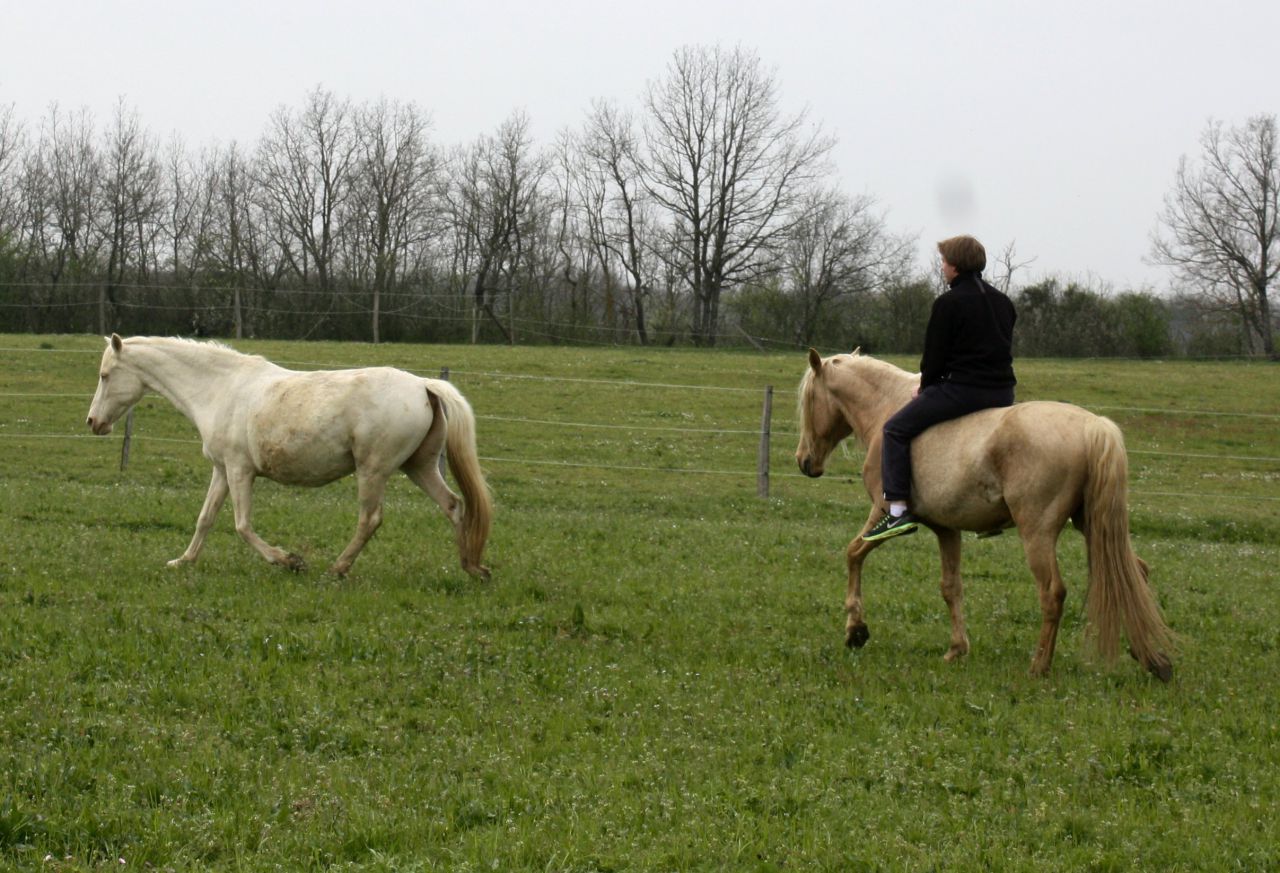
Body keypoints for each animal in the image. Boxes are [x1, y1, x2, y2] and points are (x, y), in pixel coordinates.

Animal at [86, 334, 492, 579]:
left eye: (105, 375)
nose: (93, 422)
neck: (220, 389)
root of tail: (423, 386)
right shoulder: (222, 470)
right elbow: (205, 519)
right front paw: (183, 561)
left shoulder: (240, 470)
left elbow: (241, 525)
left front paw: (288, 560)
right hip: (419, 467)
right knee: (454, 505)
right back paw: (472, 568)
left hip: (373, 470)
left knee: (371, 519)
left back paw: (338, 569)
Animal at [795, 348, 1173, 681]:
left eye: (809, 400)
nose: (804, 461)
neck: (887, 408)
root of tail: (1093, 427)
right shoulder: (946, 529)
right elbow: (951, 587)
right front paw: (956, 648)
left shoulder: (884, 513)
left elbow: (854, 553)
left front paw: (856, 630)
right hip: (1094, 524)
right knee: (1134, 572)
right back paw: (1152, 657)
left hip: (1037, 532)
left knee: (1053, 593)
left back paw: (1039, 666)